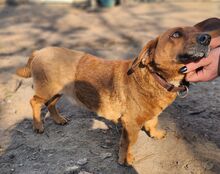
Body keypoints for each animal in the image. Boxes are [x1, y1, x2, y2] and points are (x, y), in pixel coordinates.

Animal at [16, 18, 218, 165]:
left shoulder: (151, 114)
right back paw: (38, 125)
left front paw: (155, 133)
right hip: (47, 89)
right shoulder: (130, 124)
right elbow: (128, 143)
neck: (154, 77)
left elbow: (153, 122)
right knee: (34, 102)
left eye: (197, 30)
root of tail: (38, 51)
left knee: (50, 104)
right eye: (176, 34)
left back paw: (58, 120)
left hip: (59, 91)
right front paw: (126, 159)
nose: (207, 38)